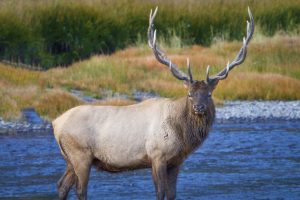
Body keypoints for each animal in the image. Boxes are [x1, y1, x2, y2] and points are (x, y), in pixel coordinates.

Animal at [52, 6, 254, 200]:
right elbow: (160, 192)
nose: (199, 107)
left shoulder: (176, 162)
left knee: (62, 186)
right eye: (189, 94)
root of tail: (56, 123)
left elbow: (172, 194)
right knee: (80, 190)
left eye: (209, 94)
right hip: (80, 154)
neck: (181, 134)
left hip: (70, 158)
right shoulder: (157, 155)